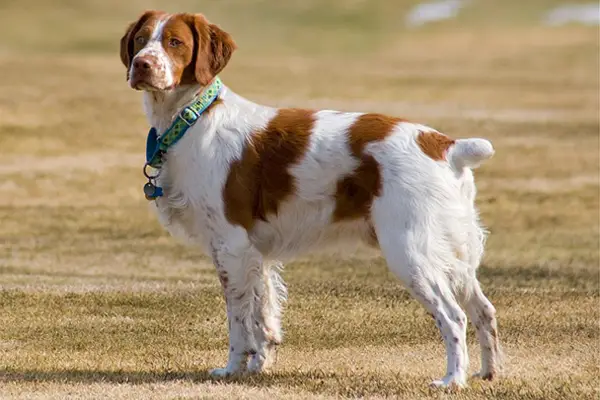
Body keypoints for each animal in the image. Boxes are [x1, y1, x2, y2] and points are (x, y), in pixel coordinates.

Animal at [119, 10, 500, 390]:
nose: (141, 65)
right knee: (484, 310)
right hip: (454, 254)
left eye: (175, 42)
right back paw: (487, 372)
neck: (194, 118)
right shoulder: (256, 254)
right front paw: (258, 366)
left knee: (454, 317)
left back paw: (453, 379)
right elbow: (263, 314)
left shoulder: (231, 246)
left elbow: (239, 320)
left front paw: (232, 369)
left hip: (411, 251)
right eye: (141, 39)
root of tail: (446, 146)